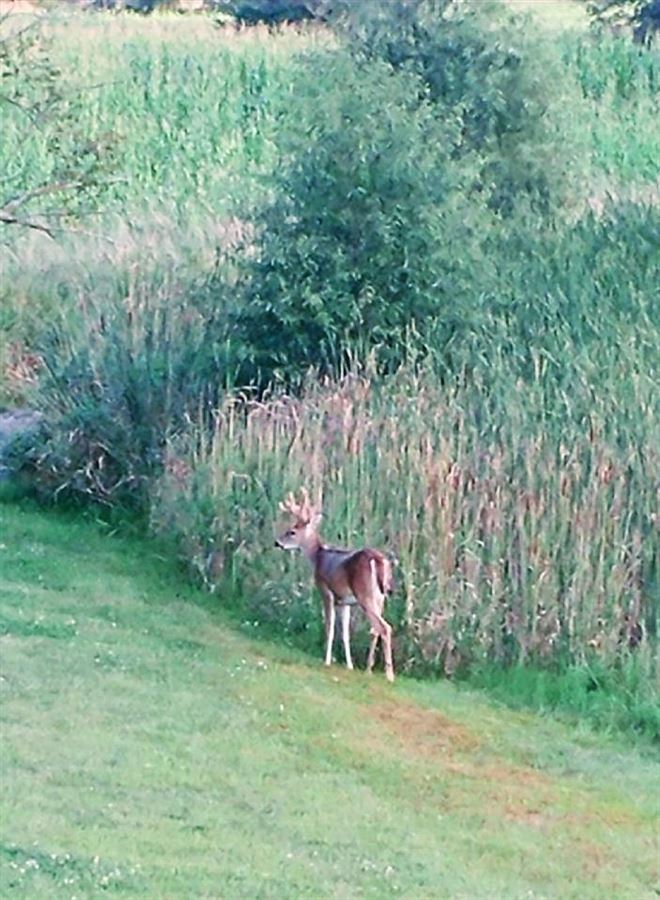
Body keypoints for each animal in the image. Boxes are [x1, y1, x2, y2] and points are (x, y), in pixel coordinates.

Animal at [276, 492, 394, 684]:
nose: (277, 542)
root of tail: (378, 561)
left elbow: (329, 628)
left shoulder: (326, 591)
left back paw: (389, 675)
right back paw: (368, 670)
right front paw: (350, 665)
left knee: (384, 627)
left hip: (365, 594)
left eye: (291, 531)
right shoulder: (345, 602)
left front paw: (327, 661)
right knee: (375, 629)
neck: (318, 557)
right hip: (380, 597)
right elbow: (345, 633)